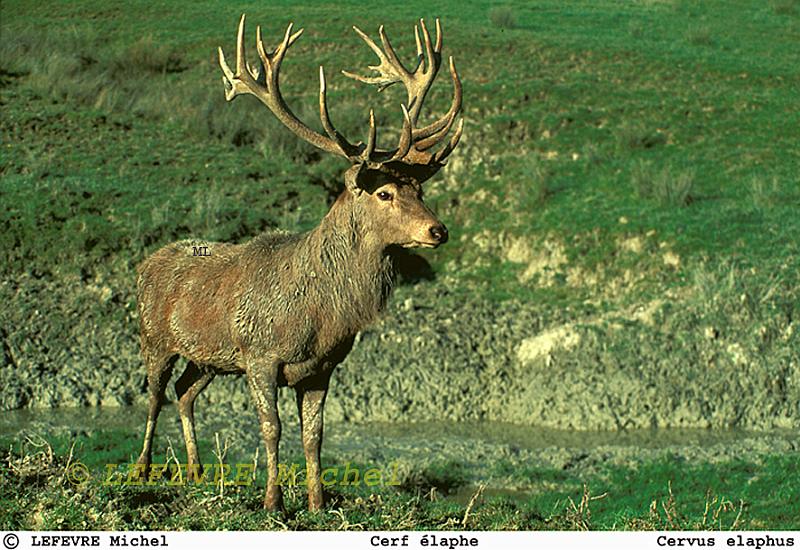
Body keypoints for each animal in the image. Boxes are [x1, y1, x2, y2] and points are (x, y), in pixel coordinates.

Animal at [136, 12, 462, 512]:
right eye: (385, 193)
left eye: (420, 189)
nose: (438, 231)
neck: (321, 314)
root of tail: (145, 264)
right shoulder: (259, 354)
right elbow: (271, 429)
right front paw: (273, 500)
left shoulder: (321, 368)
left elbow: (315, 436)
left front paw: (317, 501)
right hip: (154, 337)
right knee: (153, 395)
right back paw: (143, 468)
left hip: (208, 359)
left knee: (184, 393)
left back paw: (195, 472)